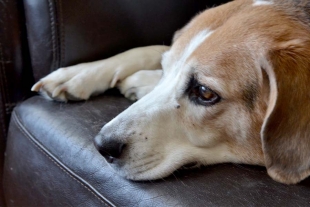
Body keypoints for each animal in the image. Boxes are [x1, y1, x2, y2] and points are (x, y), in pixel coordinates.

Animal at [32, 0, 310, 184]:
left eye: (204, 93)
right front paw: (79, 74)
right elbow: (150, 49)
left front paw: (139, 81)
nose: (102, 146)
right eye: (166, 70)